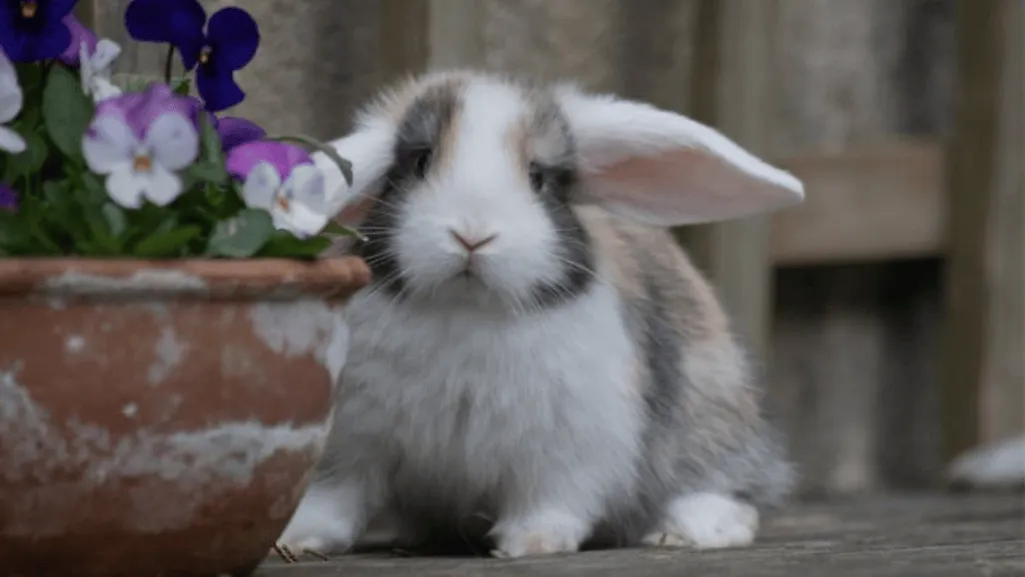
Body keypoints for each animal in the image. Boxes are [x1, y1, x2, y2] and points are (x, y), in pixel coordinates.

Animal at [277, 70, 805, 559]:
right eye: (420, 162)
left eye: (538, 178)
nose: (473, 234)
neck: (467, 309)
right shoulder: (350, 443)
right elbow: (332, 499)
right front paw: (297, 541)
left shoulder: (568, 448)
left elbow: (552, 500)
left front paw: (530, 544)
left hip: (711, 420)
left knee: (728, 491)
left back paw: (683, 532)